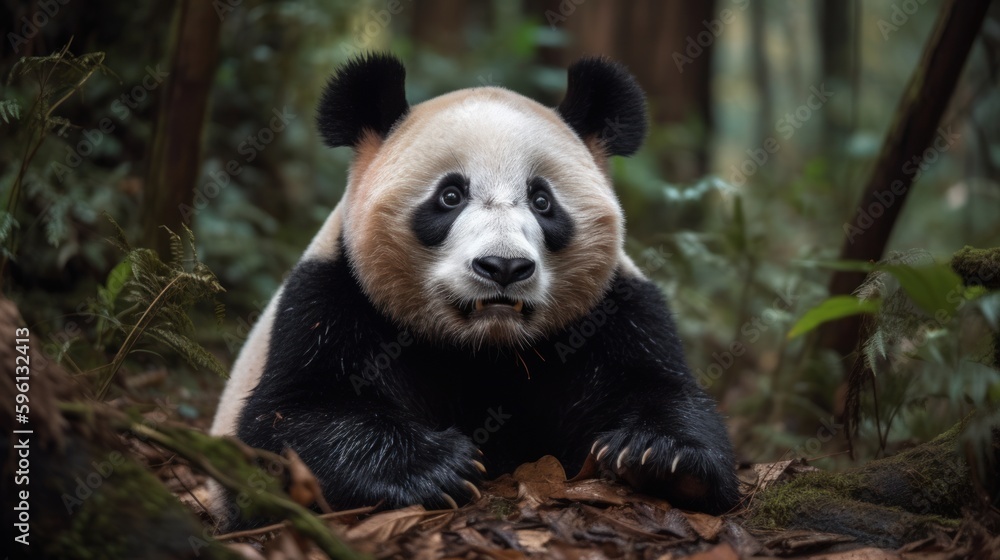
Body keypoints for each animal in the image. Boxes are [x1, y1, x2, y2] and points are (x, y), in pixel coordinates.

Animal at [210, 53, 740, 528]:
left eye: (542, 200)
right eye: (450, 195)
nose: (503, 266)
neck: (485, 348)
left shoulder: (613, 310)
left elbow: (661, 387)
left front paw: (662, 457)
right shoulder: (330, 299)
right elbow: (284, 420)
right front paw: (435, 468)